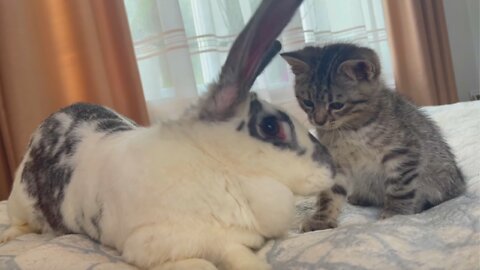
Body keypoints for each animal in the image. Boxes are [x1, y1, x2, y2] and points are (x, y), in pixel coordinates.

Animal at [0, 1, 334, 268]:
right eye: (270, 127)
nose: (332, 169)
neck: (219, 166)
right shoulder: (157, 244)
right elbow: (207, 263)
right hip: (22, 203)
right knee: (21, 222)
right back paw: (9, 237)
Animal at [282, 43, 464, 231]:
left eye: (337, 105)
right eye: (308, 102)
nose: (318, 121)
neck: (351, 129)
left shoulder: (404, 152)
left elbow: (399, 188)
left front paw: (395, 214)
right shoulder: (337, 161)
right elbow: (330, 194)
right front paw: (321, 220)